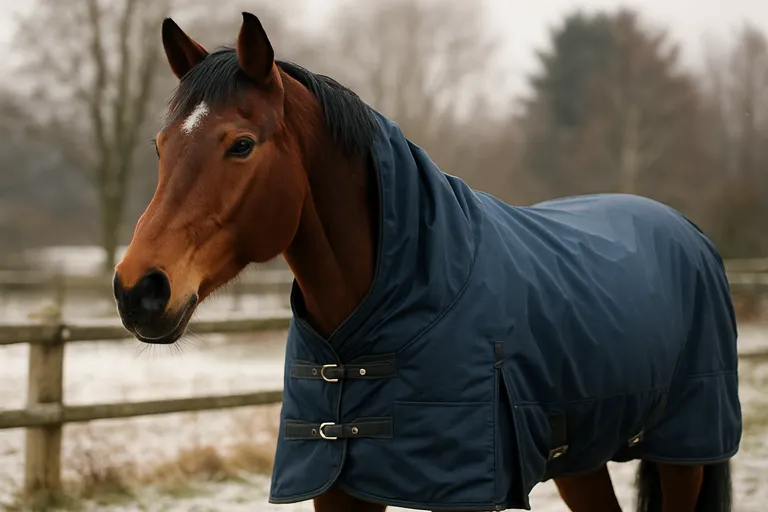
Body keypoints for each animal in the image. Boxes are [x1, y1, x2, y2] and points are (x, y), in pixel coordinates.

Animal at [113, 12, 741, 512]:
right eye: (161, 147)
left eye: (241, 145)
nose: (138, 290)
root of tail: (686, 229)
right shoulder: (338, 486)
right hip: (580, 457)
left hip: (685, 448)